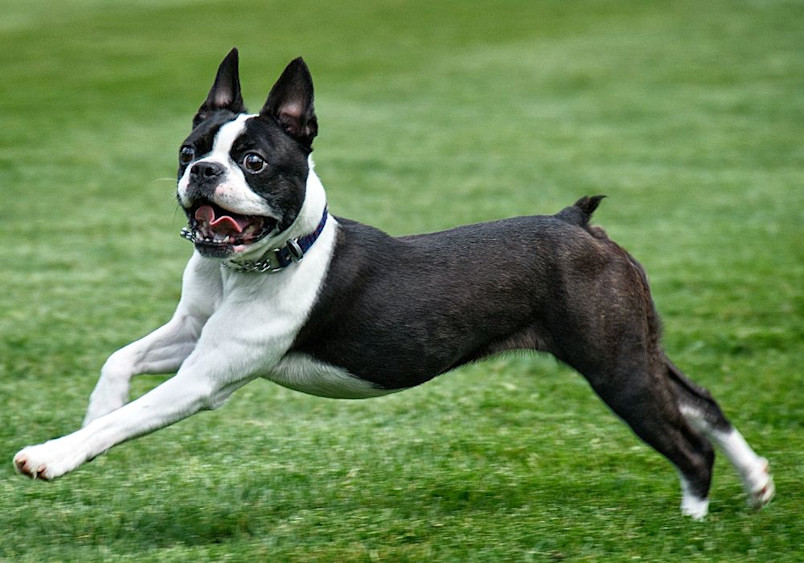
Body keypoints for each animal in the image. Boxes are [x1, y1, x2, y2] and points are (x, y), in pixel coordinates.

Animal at [14, 49, 772, 520]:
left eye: (254, 162)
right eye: (188, 151)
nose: (203, 172)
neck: (255, 263)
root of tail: (577, 223)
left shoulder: (206, 376)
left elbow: (131, 418)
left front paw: (54, 454)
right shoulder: (192, 331)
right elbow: (120, 361)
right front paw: (93, 411)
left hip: (613, 366)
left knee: (688, 440)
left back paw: (693, 515)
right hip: (632, 345)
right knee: (701, 402)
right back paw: (757, 481)